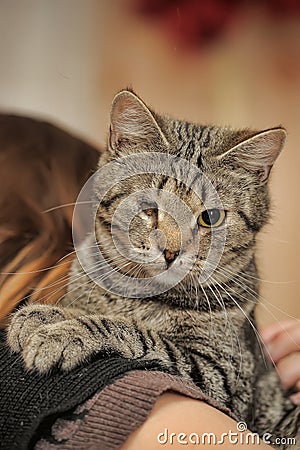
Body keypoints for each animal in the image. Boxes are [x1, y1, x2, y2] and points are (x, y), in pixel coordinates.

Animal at [8, 89, 298, 448]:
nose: (171, 252)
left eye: (210, 217)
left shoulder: (221, 377)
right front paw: (45, 313)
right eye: (149, 207)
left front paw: (65, 332)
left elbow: (135, 331)